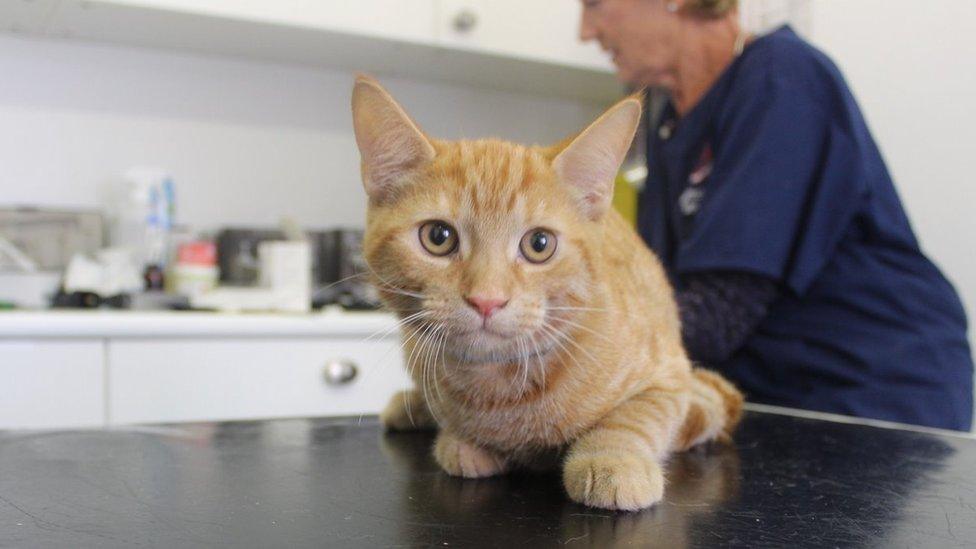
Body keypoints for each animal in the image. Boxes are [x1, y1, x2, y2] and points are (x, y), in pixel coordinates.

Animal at [350, 76, 740, 510]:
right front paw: (462, 440)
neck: (500, 387)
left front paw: (613, 459)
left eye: (539, 244)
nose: (487, 299)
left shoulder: (670, 375)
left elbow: (638, 416)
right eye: (438, 237)